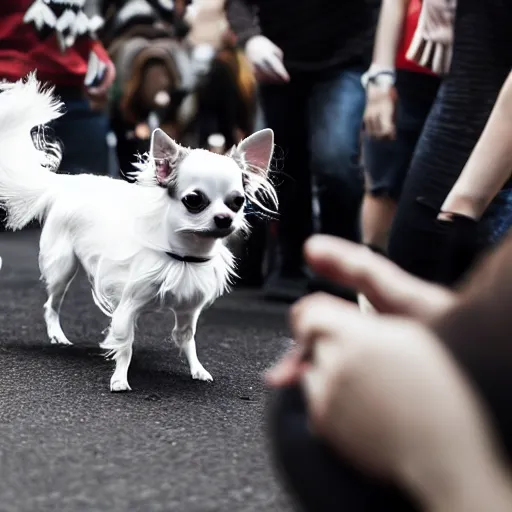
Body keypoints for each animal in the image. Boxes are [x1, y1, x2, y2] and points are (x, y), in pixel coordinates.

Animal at [0, 73, 276, 392]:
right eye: (194, 200)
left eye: (237, 202)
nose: (223, 219)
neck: (184, 256)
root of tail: (68, 182)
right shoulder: (129, 306)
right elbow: (125, 345)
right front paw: (120, 379)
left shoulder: (188, 312)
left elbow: (187, 341)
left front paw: (197, 370)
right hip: (62, 268)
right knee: (51, 304)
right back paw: (57, 334)